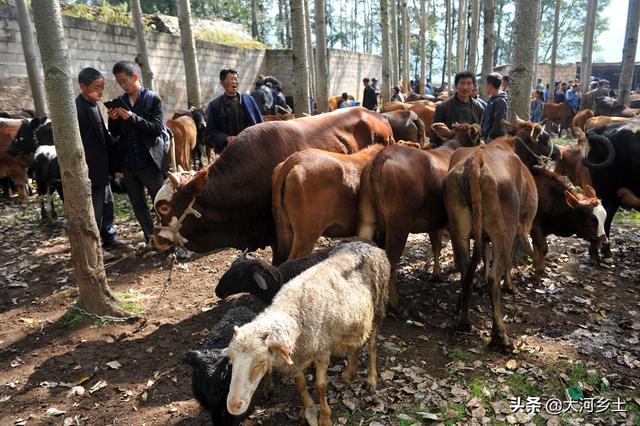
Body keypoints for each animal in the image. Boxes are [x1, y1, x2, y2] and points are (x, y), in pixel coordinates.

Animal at [225, 241, 390, 424]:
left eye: (261, 362)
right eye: (231, 359)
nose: (233, 406)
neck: (294, 312)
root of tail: (367, 244)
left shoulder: (322, 351)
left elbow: (320, 386)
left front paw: (324, 418)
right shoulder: (296, 356)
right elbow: (300, 385)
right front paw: (307, 410)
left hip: (378, 305)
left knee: (372, 345)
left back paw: (371, 379)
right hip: (357, 317)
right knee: (358, 342)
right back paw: (349, 373)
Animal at [358, 122, 482, 306]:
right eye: (480, 137)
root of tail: (381, 158)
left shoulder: (435, 220)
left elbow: (436, 245)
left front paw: (436, 274)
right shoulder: (446, 221)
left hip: (367, 218)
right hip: (399, 223)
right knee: (391, 258)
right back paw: (394, 301)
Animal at [444, 117, 556, 350]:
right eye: (545, 137)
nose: (558, 152)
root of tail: (475, 161)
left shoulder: (485, 237)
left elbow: (485, 258)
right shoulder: (519, 228)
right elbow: (509, 261)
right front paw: (510, 285)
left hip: (458, 230)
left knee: (465, 271)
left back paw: (464, 320)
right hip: (505, 230)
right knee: (493, 276)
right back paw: (500, 334)